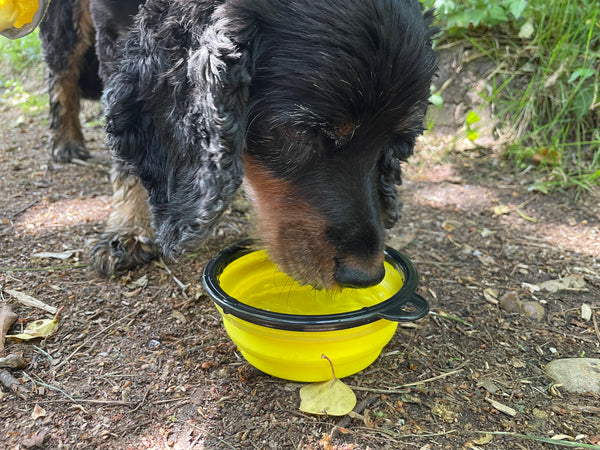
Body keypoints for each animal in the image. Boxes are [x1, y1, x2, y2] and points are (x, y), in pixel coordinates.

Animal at [41, 0, 436, 288]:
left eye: (398, 141)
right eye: (302, 132)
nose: (365, 275)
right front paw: (129, 227)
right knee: (62, 70)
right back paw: (66, 141)